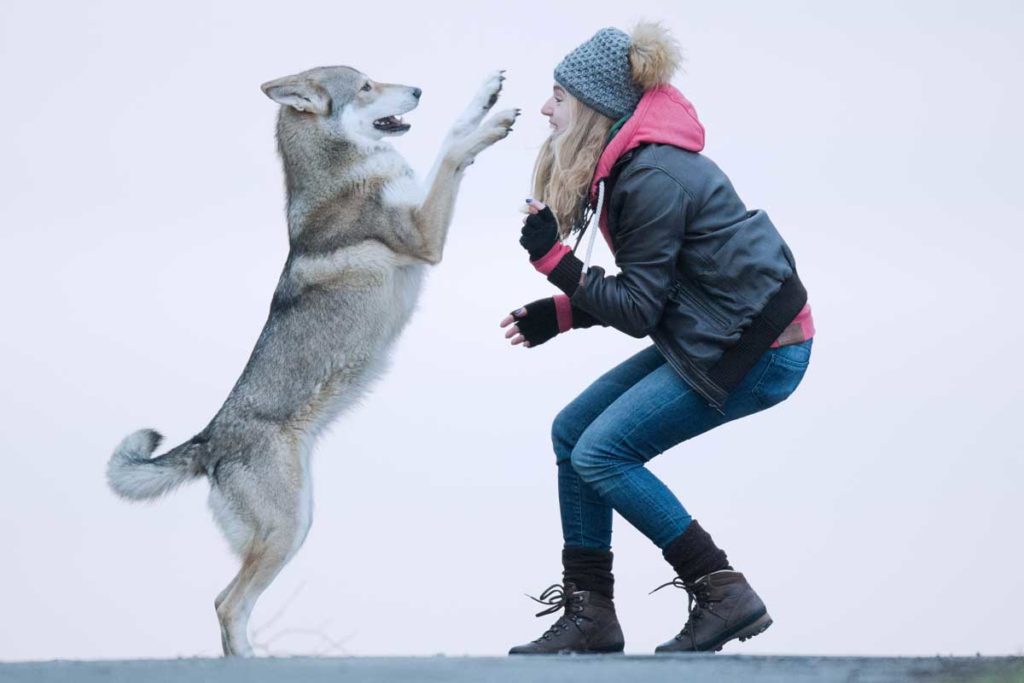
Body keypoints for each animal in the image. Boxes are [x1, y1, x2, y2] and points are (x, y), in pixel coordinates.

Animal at [108, 65, 516, 655]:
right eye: (366, 86)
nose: (418, 89)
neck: (345, 171)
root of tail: (210, 439)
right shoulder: (425, 233)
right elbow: (451, 149)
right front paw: (493, 125)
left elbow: (455, 129)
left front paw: (488, 94)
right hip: (290, 529)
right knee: (228, 605)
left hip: (292, 527)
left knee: (225, 602)